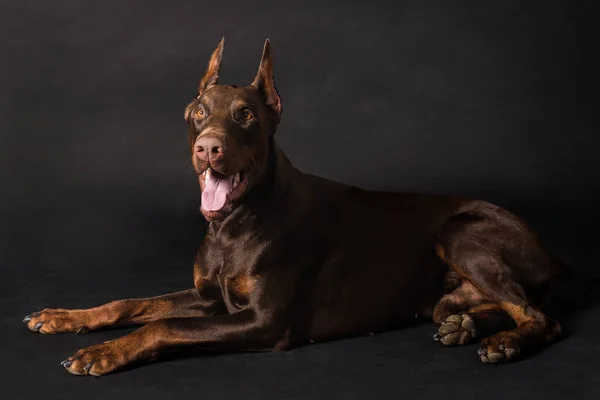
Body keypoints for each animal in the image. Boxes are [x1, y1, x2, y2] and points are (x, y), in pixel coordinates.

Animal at [23, 39, 568, 376]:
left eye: (245, 115)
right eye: (199, 112)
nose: (208, 147)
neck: (232, 226)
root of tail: (549, 250)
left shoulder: (265, 322)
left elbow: (163, 324)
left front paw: (103, 352)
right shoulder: (208, 297)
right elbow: (133, 303)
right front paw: (64, 317)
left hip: (458, 232)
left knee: (543, 317)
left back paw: (503, 342)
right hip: (447, 289)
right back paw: (467, 325)